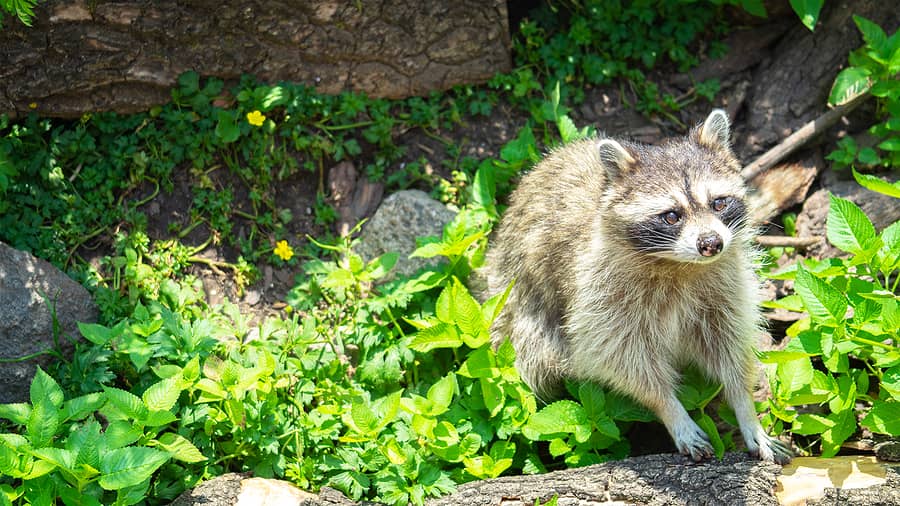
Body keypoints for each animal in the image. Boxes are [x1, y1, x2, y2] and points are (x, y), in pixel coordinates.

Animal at [488, 109, 792, 462]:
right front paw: (671, 409)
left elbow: (729, 344)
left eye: (718, 203)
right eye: (672, 215)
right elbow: (621, 357)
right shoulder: (601, 293)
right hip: (514, 307)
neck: (679, 265)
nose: (711, 244)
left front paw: (744, 406)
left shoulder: (725, 287)